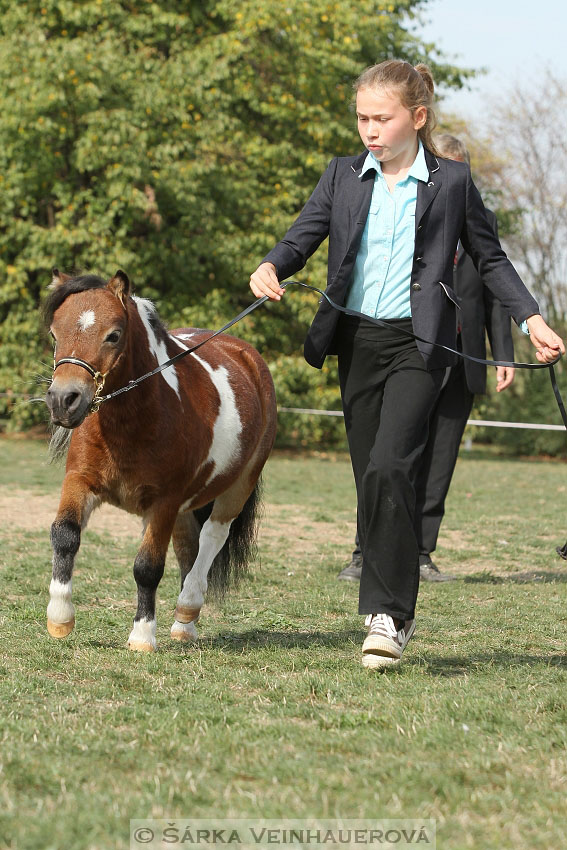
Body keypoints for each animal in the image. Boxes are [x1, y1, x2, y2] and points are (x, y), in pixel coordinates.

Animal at [42, 270, 278, 648]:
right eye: (55, 334)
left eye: (113, 335)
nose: (64, 400)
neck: (132, 421)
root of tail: (246, 356)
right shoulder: (80, 481)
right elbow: (65, 535)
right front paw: (60, 618)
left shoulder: (164, 502)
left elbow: (148, 567)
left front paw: (142, 635)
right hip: (183, 508)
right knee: (188, 547)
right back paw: (185, 628)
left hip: (238, 485)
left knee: (211, 537)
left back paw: (187, 608)